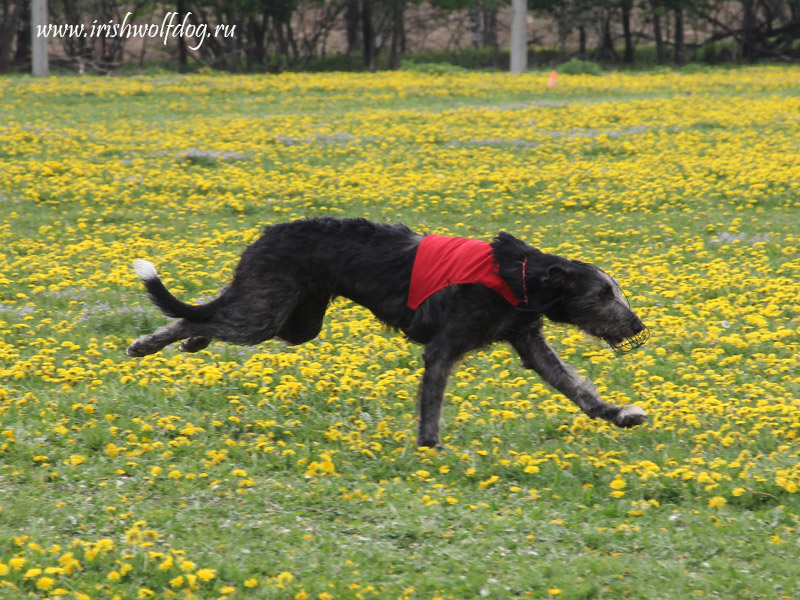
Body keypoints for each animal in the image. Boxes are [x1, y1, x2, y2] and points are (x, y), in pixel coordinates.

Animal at [126, 218, 648, 448]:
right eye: (604, 293)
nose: (639, 325)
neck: (519, 277)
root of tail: (266, 234)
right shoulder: (443, 346)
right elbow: (432, 398)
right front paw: (431, 448)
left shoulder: (528, 341)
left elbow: (574, 386)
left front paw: (618, 413)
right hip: (266, 313)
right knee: (201, 316)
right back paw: (149, 343)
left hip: (297, 321)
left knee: (210, 315)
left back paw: (194, 341)